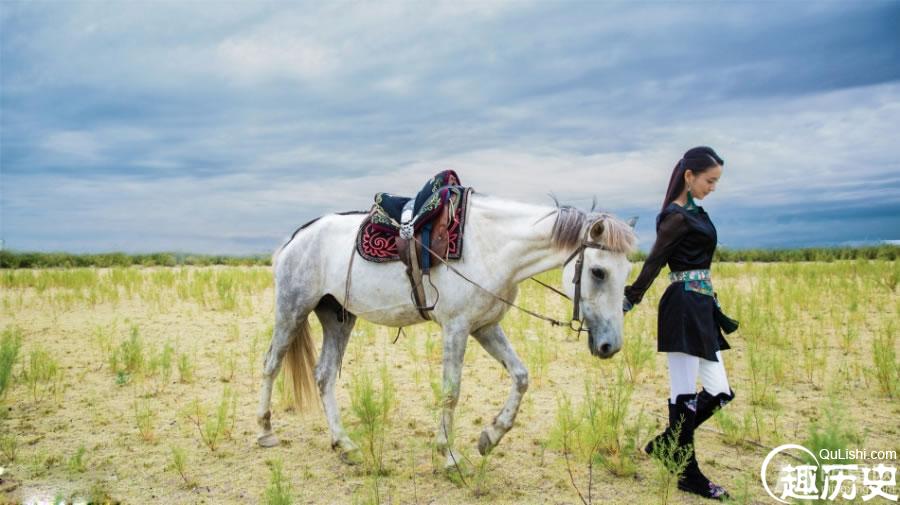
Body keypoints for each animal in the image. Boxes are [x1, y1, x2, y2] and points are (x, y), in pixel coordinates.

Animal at [256, 190, 636, 468]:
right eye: (599, 272)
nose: (611, 346)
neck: (492, 246)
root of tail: (296, 238)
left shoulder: (485, 326)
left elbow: (521, 377)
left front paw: (490, 437)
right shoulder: (457, 328)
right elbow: (452, 391)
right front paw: (449, 455)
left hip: (338, 317)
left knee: (323, 376)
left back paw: (345, 444)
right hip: (292, 309)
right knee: (271, 365)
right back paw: (265, 430)